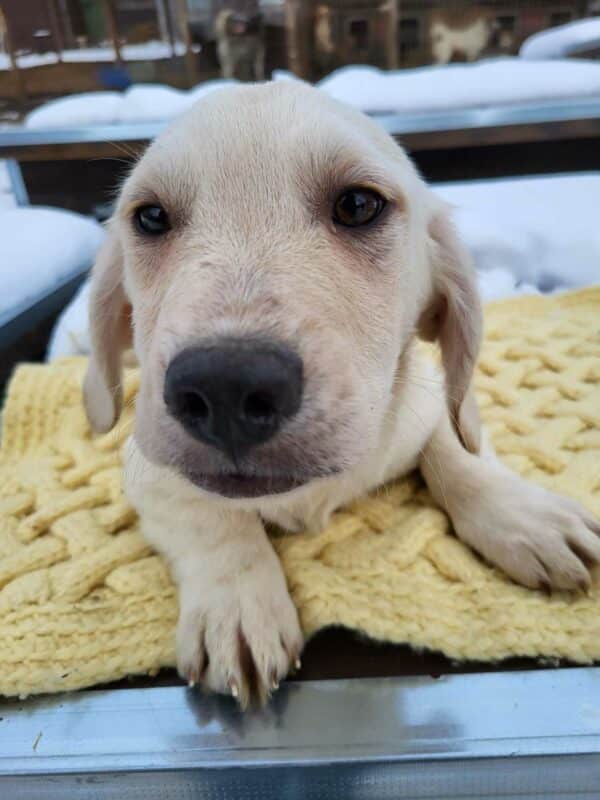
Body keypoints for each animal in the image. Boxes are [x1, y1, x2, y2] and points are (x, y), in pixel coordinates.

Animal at [84, 81, 600, 708]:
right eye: (152, 217)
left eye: (358, 205)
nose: (225, 386)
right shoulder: (144, 462)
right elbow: (208, 518)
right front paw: (238, 603)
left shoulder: (429, 399)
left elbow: (458, 447)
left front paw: (520, 514)